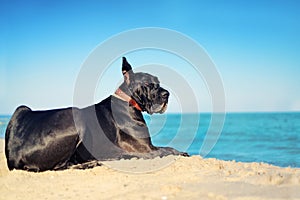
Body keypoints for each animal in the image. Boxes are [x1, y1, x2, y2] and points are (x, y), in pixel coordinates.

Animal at [4, 57, 188, 171]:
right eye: (147, 84)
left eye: (158, 82)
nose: (166, 94)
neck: (128, 101)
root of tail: (13, 154)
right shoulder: (147, 148)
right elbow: (169, 150)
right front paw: (182, 153)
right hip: (77, 115)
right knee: (61, 166)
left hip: (22, 108)